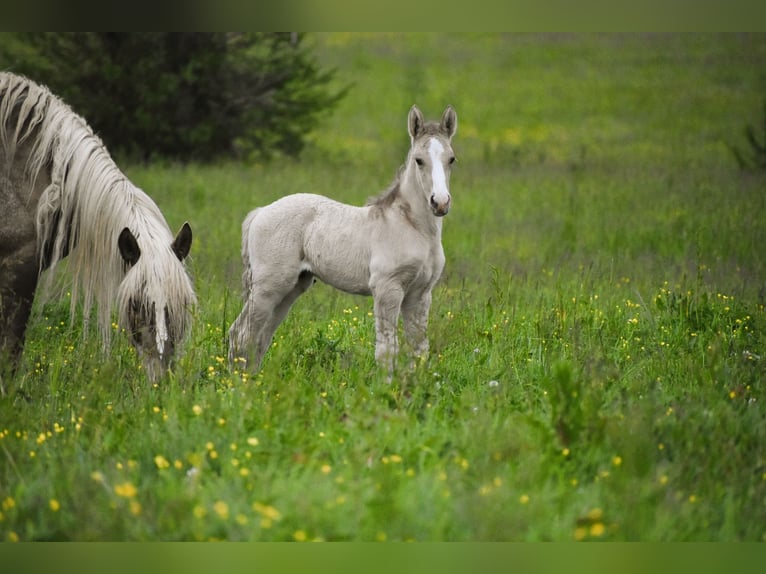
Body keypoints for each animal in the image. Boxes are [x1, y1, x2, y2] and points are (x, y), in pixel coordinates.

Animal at [226, 104, 456, 378]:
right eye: (419, 160)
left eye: (451, 159)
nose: (440, 202)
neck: (413, 227)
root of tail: (260, 212)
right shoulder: (387, 288)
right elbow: (387, 349)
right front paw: (386, 386)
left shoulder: (420, 294)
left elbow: (418, 349)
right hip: (269, 286)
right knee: (241, 334)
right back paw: (236, 383)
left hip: (292, 286)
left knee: (260, 338)